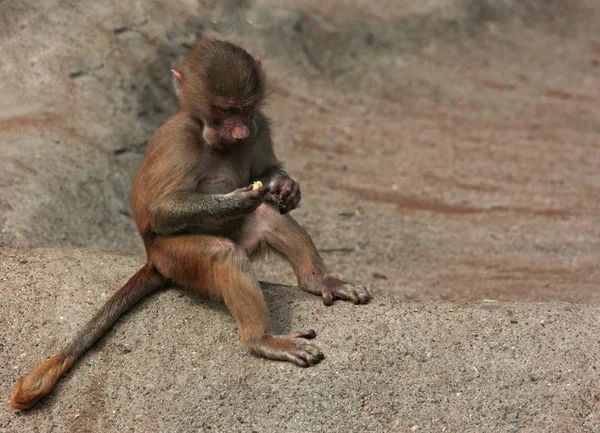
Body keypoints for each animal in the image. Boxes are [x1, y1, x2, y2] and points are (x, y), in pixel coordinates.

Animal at [11, 38, 370, 408]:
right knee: (223, 254)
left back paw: (319, 281)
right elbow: (161, 210)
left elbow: (266, 174)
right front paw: (236, 200)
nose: (242, 131)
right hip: (176, 259)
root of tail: (152, 257)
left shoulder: (261, 124)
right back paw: (263, 340)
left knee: (271, 217)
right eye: (224, 109)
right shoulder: (180, 141)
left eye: (245, 108)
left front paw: (286, 187)